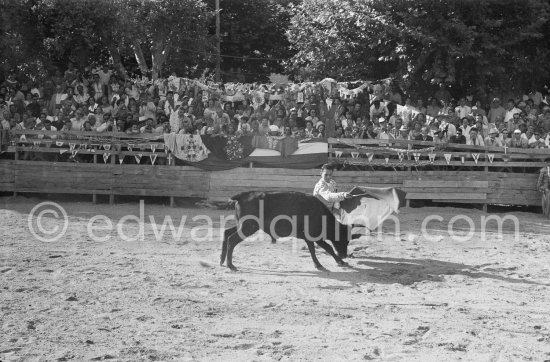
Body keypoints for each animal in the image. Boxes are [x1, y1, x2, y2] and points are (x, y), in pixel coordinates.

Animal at [220, 192, 354, 272]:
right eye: (344, 239)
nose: (344, 255)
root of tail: (243, 195)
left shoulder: (308, 237)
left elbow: (313, 249)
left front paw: (319, 264)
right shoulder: (314, 236)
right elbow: (328, 248)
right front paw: (340, 261)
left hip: (244, 225)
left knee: (226, 233)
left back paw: (222, 260)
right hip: (248, 227)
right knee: (231, 239)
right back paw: (231, 265)